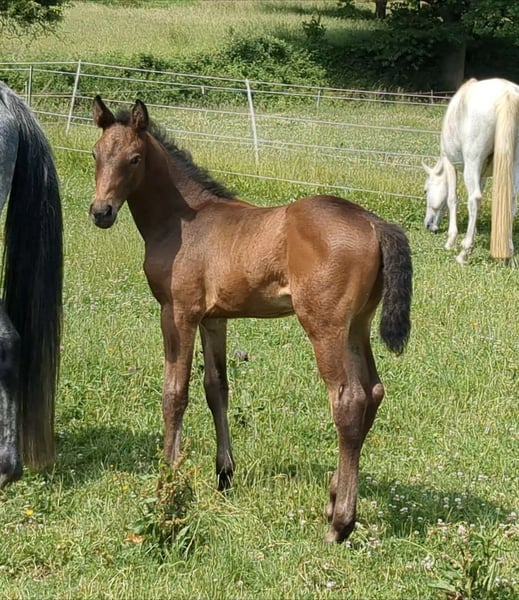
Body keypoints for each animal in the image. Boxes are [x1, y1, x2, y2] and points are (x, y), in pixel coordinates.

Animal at [90, 96, 412, 543]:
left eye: (134, 159)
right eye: (96, 154)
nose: (100, 212)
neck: (183, 220)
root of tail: (373, 221)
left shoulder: (178, 311)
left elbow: (175, 393)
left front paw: (168, 478)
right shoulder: (214, 318)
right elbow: (216, 388)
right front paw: (224, 474)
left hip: (324, 326)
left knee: (349, 400)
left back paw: (340, 523)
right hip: (357, 325)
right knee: (374, 392)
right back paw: (334, 497)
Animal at [423, 77, 519, 264]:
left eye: (425, 191)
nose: (428, 225)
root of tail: (507, 93)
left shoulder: (450, 163)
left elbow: (452, 199)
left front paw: (451, 240)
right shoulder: (482, 174)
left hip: (472, 162)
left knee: (474, 199)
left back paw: (464, 252)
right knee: (511, 200)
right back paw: (509, 255)